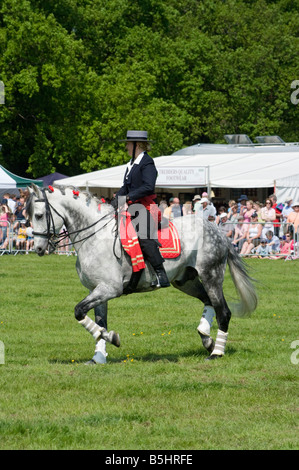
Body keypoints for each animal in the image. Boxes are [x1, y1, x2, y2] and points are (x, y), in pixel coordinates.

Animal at [27, 185, 258, 364]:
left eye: (39, 215)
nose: (38, 248)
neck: (94, 237)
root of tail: (217, 229)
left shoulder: (109, 289)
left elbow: (79, 311)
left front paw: (113, 338)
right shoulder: (98, 290)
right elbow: (99, 323)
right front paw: (99, 356)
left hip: (211, 275)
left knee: (223, 311)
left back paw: (217, 352)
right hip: (186, 281)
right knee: (208, 302)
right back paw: (206, 338)